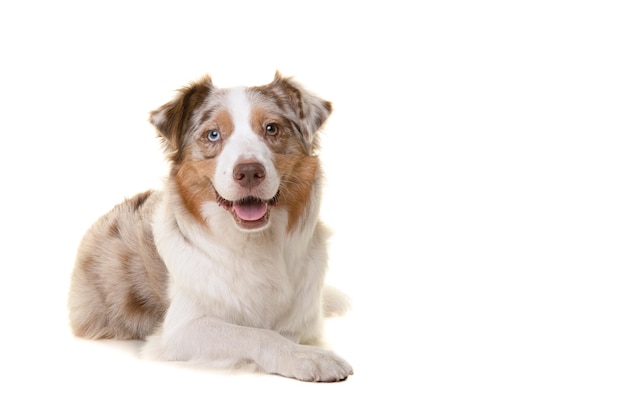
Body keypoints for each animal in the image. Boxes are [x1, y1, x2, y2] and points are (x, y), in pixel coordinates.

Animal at [69, 72, 354, 380]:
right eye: (213, 134)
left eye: (271, 128)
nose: (249, 172)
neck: (253, 243)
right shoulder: (180, 331)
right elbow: (256, 334)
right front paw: (307, 357)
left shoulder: (304, 321)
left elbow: (283, 331)